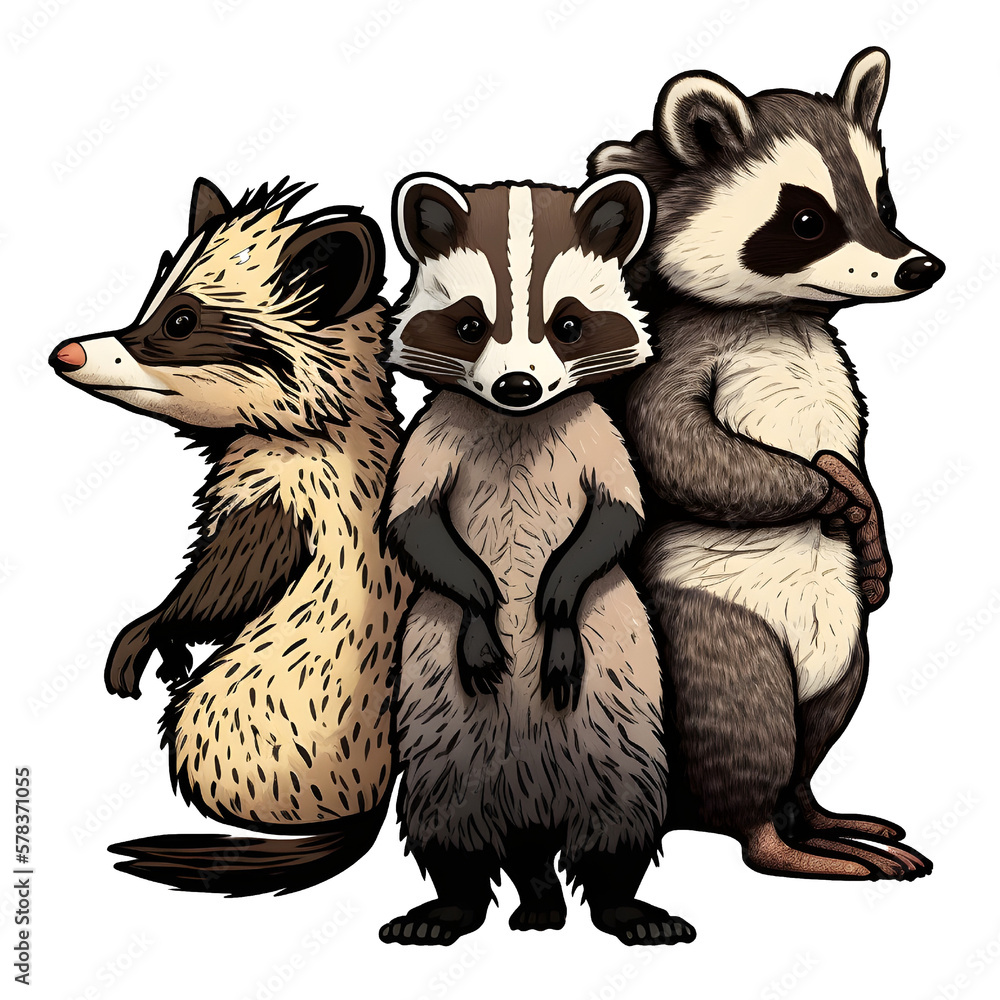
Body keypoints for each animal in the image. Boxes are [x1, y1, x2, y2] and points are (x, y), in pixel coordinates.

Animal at [50, 178, 411, 894]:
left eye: (181, 321)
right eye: (151, 300)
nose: (65, 351)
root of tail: (366, 800)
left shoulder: (286, 502)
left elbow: (221, 585)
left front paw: (148, 630)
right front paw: (167, 648)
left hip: (236, 708)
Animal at [380, 173, 695, 945]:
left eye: (569, 325)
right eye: (469, 324)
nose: (517, 386)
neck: (515, 422)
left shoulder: (595, 431)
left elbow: (618, 516)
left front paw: (555, 600)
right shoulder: (435, 432)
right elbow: (413, 523)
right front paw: (481, 603)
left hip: (623, 709)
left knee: (624, 816)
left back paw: (618, 900)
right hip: (436, 722)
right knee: (450, 823)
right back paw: (464, 899)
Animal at [590, 49, 943, 879]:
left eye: (885, 201)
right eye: (807, 219)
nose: (920, 267)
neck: (785, 315)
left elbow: (857, 448)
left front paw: (868, 512)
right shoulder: (677, 359)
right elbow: (683, 452)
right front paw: (826, 488)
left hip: (845, 653)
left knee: (821, 721)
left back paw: (813, 813)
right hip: (706, 634)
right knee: (745, 721)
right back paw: (778, 839)